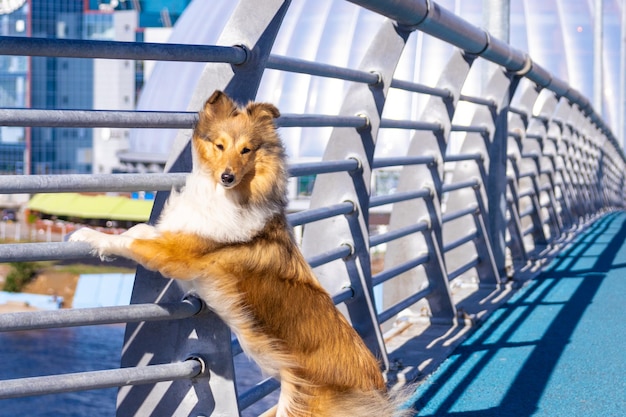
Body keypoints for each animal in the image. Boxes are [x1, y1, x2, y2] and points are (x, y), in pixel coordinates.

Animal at [69, 91, 410, 416]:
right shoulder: (179, 232)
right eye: (220, 145)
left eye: (247, 150)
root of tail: (376, 381)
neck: (226, 196)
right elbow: (137, 229)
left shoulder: (176, 252)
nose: (227, 177)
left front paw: (88, 236)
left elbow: (129, 242)